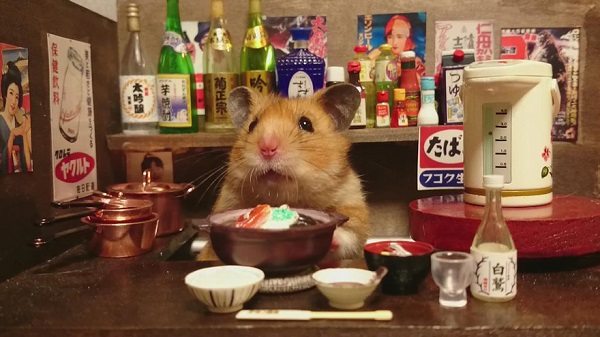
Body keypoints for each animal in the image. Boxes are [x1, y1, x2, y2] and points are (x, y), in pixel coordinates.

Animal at [211, 84, 370, 260]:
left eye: (306, 124)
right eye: (252, 125)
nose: (267, 148)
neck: (285, 198)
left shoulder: (353, 204)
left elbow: (352, 234)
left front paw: (332, 237)